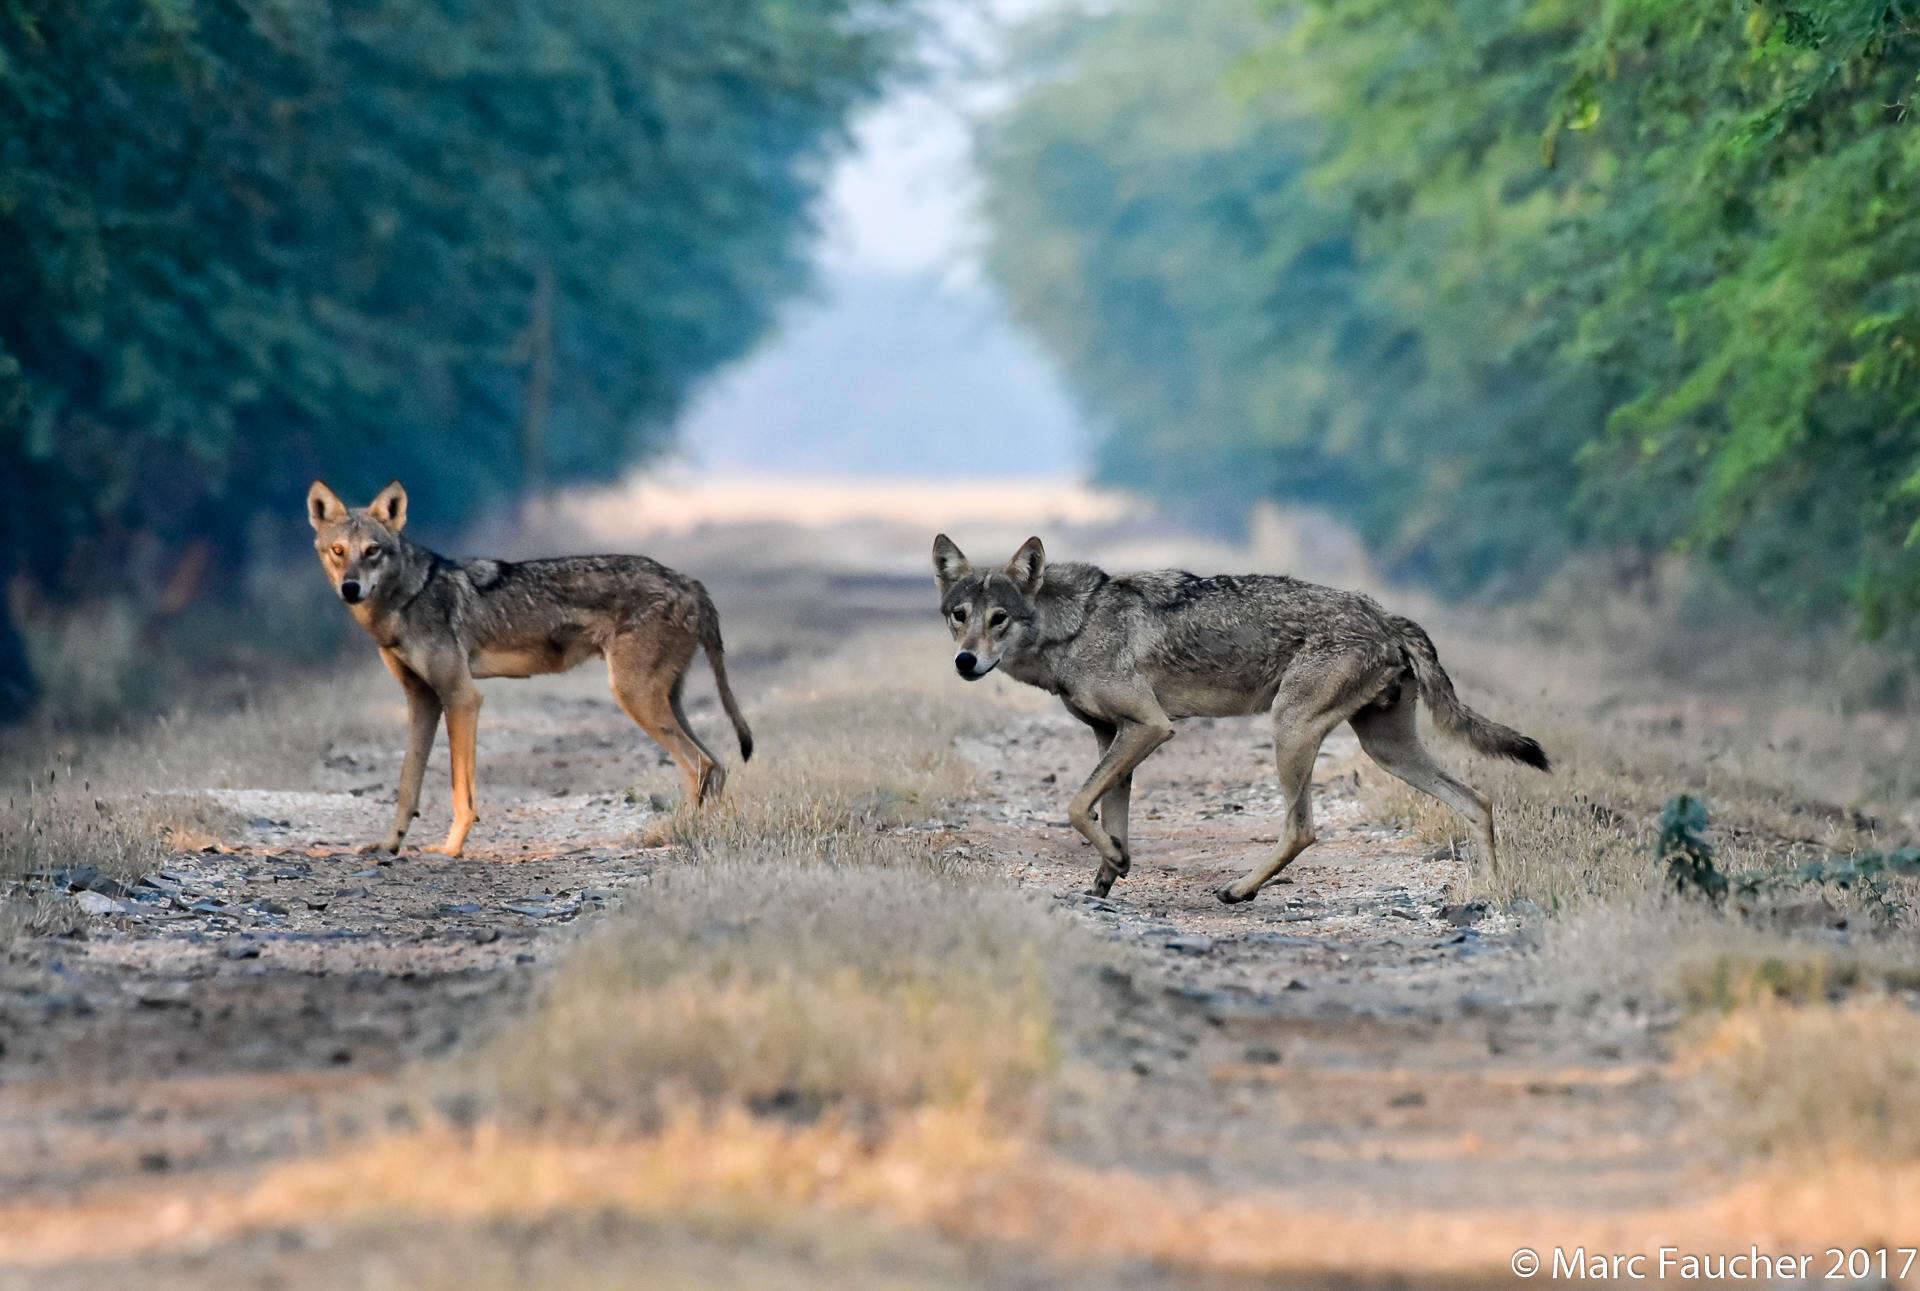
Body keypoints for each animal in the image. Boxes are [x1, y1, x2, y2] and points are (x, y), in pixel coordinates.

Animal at [305, 476, 748, 856]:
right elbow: (407, 783)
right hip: (664, 701)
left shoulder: (462, 696)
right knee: (718, 766)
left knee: (701, 764)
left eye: (372, 551)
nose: (350, 588)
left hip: (634, 697)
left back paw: (685, 833)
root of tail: (688, 582)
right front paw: (390, 845)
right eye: (338, 551)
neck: (405, 600)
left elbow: (461, 790)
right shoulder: (423, 699)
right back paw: (701, 831)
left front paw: (451, 850)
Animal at [929, 534, 1543, 906]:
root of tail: (1386, 615)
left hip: (1290, 729)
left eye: (999, 618)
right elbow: (1108, 815)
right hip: (1386, 750)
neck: (1073, 627)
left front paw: (1116, 862)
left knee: (1302, 829)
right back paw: (1491, 890)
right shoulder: (1113, 735)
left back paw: (1239, 891)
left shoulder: (1150, 726)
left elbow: (1078, 806)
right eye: (959, 616)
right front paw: (1108, 875)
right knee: (1477, 801)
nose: (964, 662)